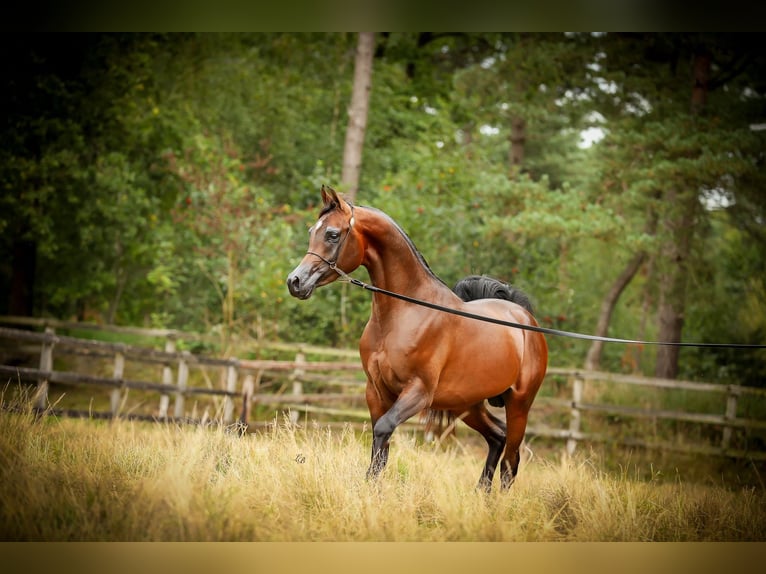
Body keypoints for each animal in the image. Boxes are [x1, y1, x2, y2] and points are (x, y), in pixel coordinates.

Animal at [284, 187, 548, 492]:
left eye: (333, 234)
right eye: (311, 231)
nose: (295, 282)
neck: (404, 314)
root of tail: (524, 318)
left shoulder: (418, 392)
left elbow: (383, 430)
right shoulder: (376, 391)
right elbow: (380, 449)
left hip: (519, 405)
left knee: (510, 462)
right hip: (466, 404)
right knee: (497, 437)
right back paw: (481, 494)